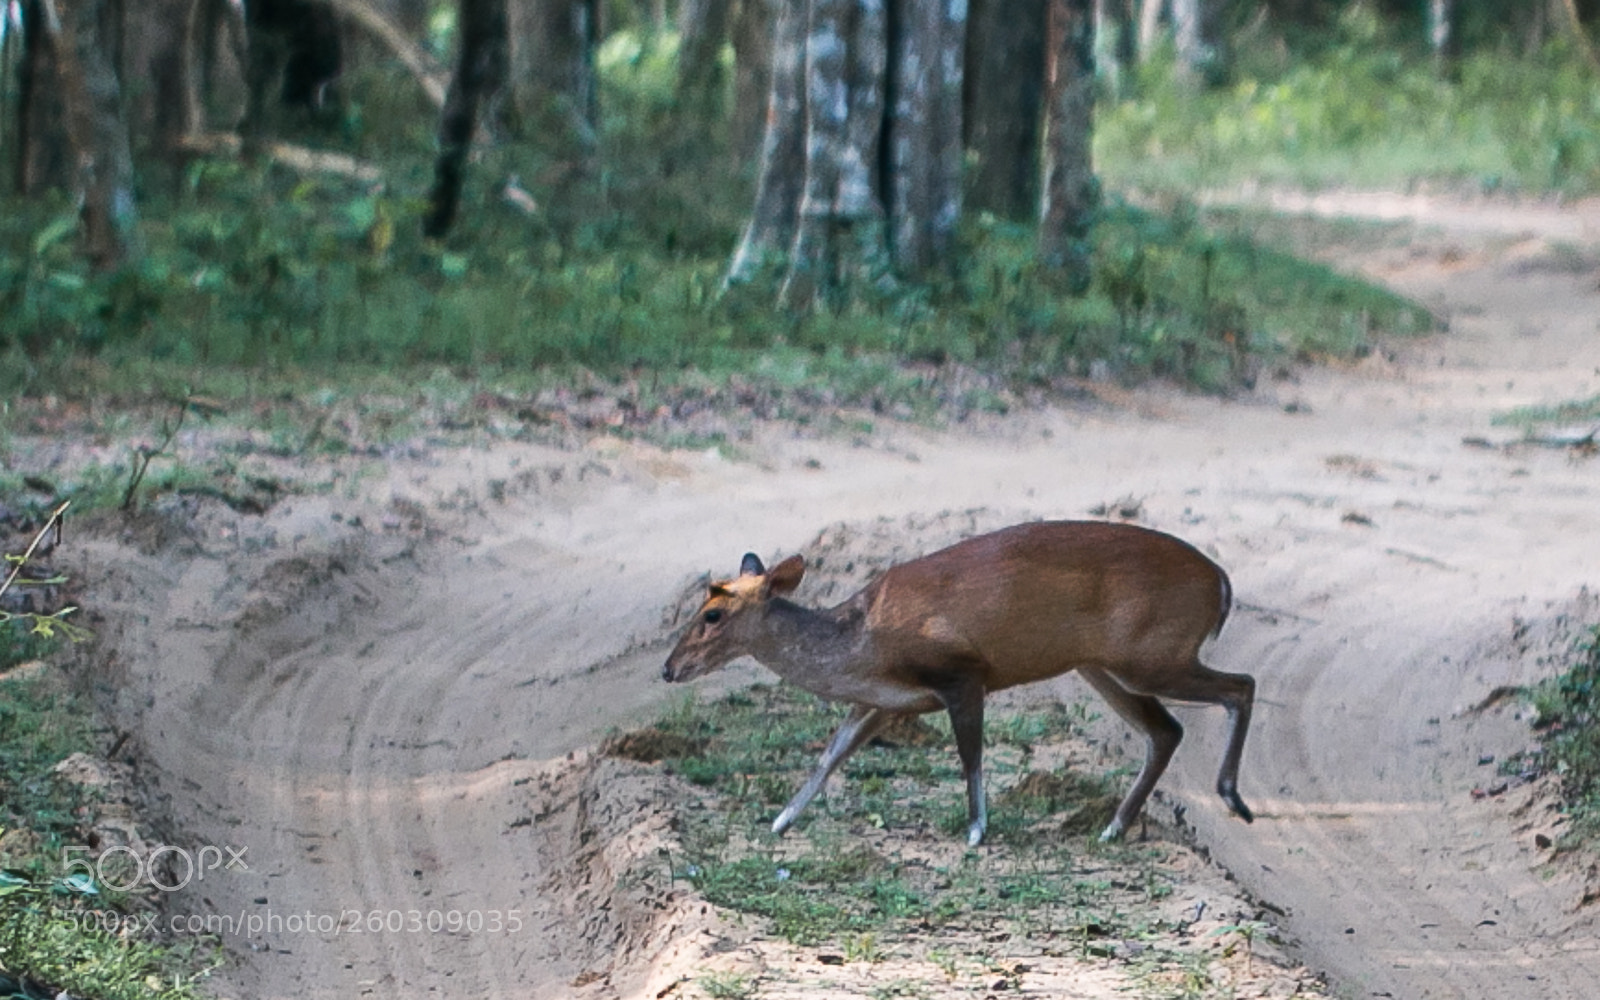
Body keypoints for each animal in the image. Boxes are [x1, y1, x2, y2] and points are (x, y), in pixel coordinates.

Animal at [662, 520, 1256, 846]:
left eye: (712, 614)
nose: (668, 668)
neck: (861, 642)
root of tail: (1222, 582)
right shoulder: (881, 700)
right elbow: (831, 755)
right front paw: (780, 821)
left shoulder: (963, 673)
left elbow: (970, 753)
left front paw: (975, 831)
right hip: (1103, 663)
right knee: (1167, 730)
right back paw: (1113, 828)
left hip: (1152, 654)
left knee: (1241, 686)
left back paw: (1232, 797)